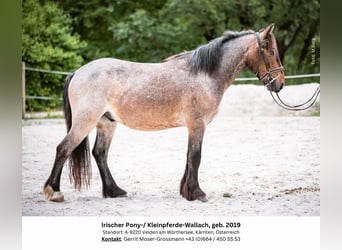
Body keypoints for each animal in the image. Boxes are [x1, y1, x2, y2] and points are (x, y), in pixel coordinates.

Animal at [43, 23, 284, 202]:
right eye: (272, 52)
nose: (280, 83)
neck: (204, 74)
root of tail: (77, 72)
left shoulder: (193, 127)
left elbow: (188, 156)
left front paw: (186, 191)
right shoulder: (197, 124)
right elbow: (195, 156)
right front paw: (197, 193)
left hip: (106, 123)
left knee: (99, 154)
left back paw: (115, 191)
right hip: (85, 121)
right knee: (63, 148)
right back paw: (54, 191)